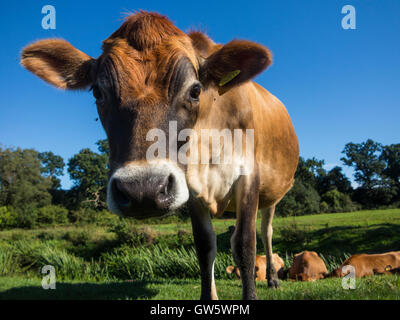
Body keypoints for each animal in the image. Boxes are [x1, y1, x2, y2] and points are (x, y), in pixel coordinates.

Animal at [20, 10, 298, 300]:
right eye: (98, 92)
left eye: (195, 90)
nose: (142, 189)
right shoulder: (191, 187)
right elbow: (205, 246)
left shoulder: (248, 177)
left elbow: (245, 244)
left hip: (272, 194)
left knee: (266, 231)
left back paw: (273, 279)